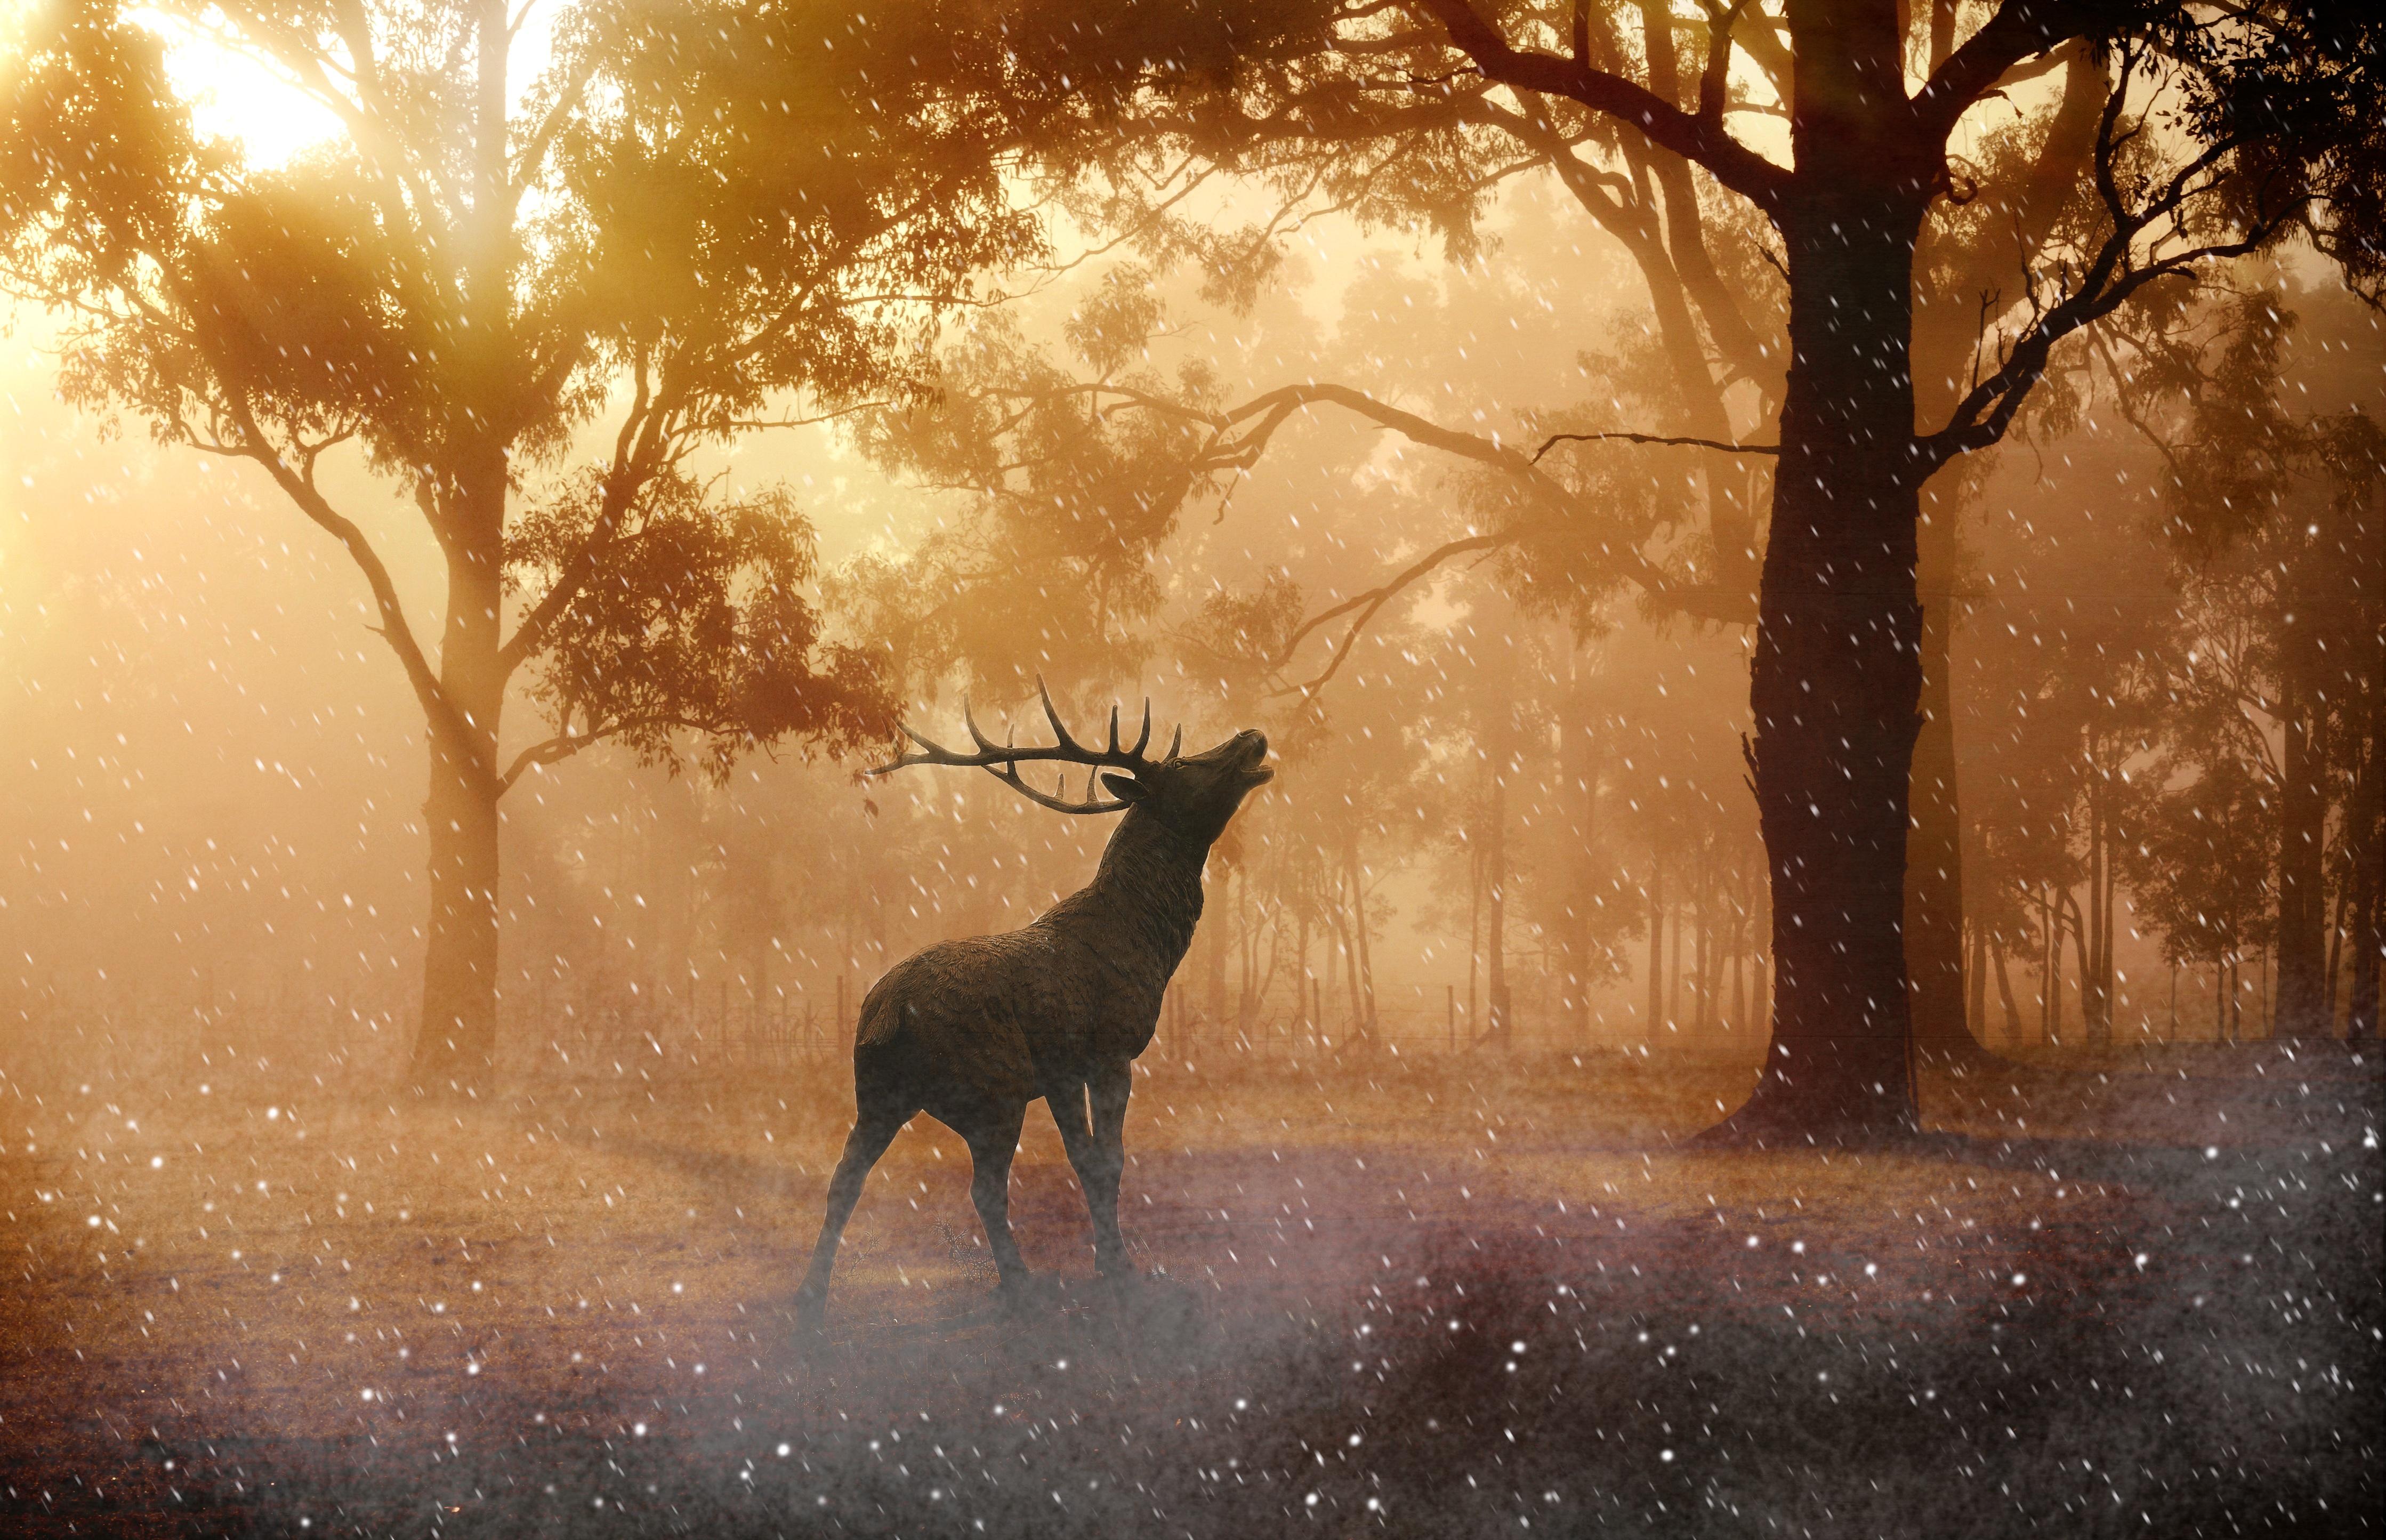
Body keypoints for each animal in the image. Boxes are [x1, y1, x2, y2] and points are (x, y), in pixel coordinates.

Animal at [793, 683, 1272, 1330]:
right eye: (1181, 766)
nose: (1253, 736)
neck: (1149, 944)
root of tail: (884, 1016)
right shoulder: (1108, 1049)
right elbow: (1109, 1161)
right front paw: (1123, 1273)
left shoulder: (1061, 1070)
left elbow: (1085, 1160)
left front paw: (1106, 1264)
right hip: (992, 1088)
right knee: (984, 1189)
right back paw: (1021, 1283)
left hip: (877, 1093)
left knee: (845, 1178)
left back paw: (810, 1298)